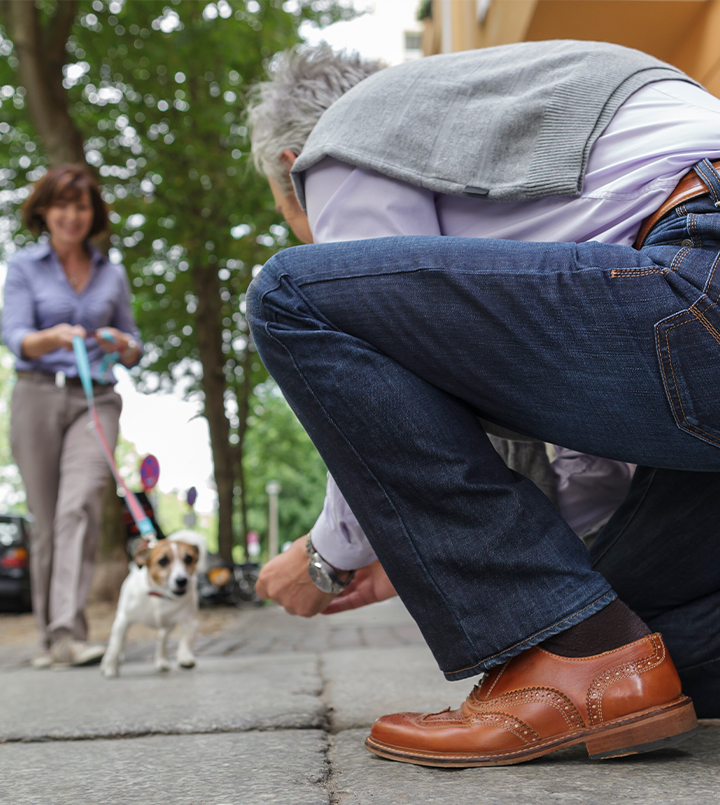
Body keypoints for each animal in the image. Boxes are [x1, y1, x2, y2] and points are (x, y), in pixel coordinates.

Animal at [100, 532, 205, 680]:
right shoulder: (123, 620)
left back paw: (162, 660)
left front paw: (185, 657)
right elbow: (115, 646)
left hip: (167, 624)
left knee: (162, 639)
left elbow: (186, 640)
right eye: (163, 561)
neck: (159, 595)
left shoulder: (189, 621)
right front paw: (110, 667)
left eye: (188, 559)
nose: (182, 580)